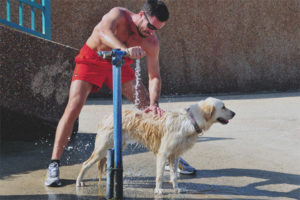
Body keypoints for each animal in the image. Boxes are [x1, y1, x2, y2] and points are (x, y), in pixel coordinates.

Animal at [76, 97, 236, 194]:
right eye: (223, 107)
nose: (234, 113)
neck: (190, 120)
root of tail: (106, 117)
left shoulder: (174, 155)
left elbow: (174, 176)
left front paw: (177, 189)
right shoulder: (163, 153)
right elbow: (159, 175)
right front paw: (158, 190)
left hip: (114, 148)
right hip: (102, 149)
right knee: (84, 164)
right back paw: (79, 182)